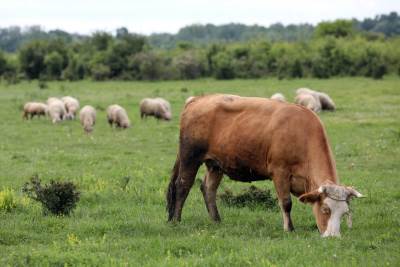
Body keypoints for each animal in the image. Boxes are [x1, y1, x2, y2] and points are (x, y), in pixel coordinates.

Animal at [166, 95, 362, 238]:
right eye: (325, 209)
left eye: (344, 213)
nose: (333, 237)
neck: (302, 133)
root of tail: (198, 99)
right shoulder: (280, 172)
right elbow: (286, 203)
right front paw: (289, 229)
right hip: (190, 158)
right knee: (182, 186)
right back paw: (176, 220)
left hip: (216, 165)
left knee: (208, 189)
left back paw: (216, 220)